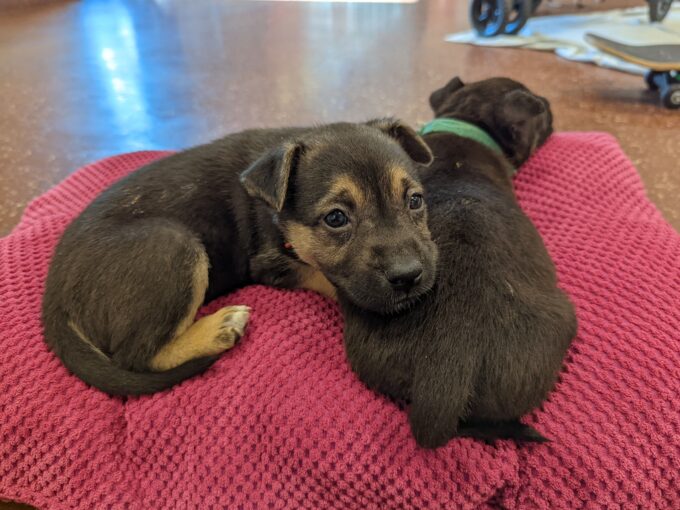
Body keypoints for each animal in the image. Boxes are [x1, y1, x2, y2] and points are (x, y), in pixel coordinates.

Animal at [43, 119, 436, 394]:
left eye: (415, 200)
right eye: (336, 219)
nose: (408, 276)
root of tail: (54, 298)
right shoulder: (272, 263)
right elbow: (326, 277)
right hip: (172, 244)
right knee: (137, 356)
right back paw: (218, 328)